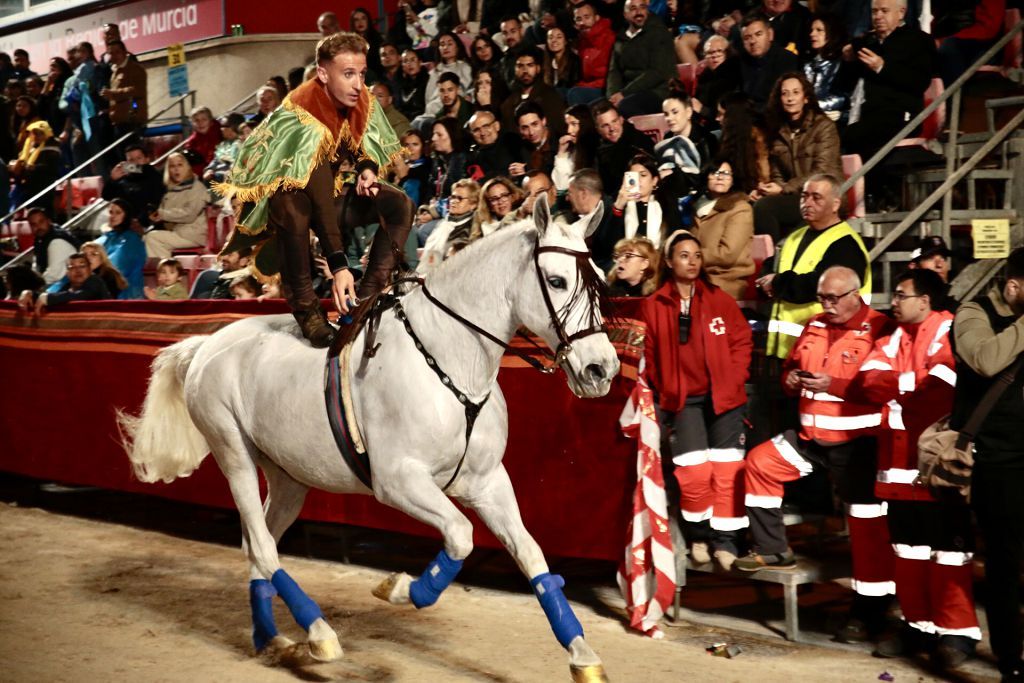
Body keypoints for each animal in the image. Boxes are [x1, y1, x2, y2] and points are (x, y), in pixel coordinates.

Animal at [117, 196, 618, 679]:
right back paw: (319, 634)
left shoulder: (488, 482)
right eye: (555, 280)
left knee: (258, 547)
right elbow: (460, 536)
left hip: (288, 479)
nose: (601, 369)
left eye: (598, 279)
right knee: (261, 546)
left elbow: (532, 556)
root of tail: (206, 345)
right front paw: (400, 588)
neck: (450, 364)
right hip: (233, 454)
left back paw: (270, 637)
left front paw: (583, 655)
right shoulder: (397, 481)